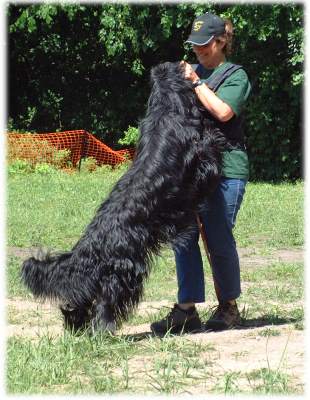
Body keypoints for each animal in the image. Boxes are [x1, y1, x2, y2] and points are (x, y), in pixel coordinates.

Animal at [21, 61, 225, 332]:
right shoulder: (200, 162)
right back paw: (104, 329)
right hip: (123, 270)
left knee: (77, 301)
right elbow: (210, 155)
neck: (167, 104)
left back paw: (77, 326)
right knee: (107, 301)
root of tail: (88, 247)